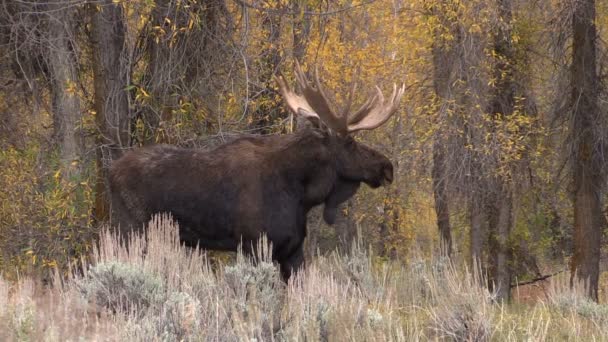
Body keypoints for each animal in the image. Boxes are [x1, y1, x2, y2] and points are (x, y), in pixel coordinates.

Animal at [109, 62, 404, 280]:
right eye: (351, 142)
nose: (386, 167)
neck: (302, 194)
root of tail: (111, 171)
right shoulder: (254, 245)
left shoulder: (293, 250)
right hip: (132, 229)